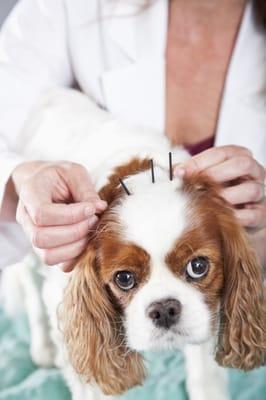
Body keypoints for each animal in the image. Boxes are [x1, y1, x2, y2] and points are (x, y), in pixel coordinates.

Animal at [1, 89, 264, 398]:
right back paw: (42, 347)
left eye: (198, 266)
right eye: (124, 278)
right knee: (30, 289)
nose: (164, 309)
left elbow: (205, 371)